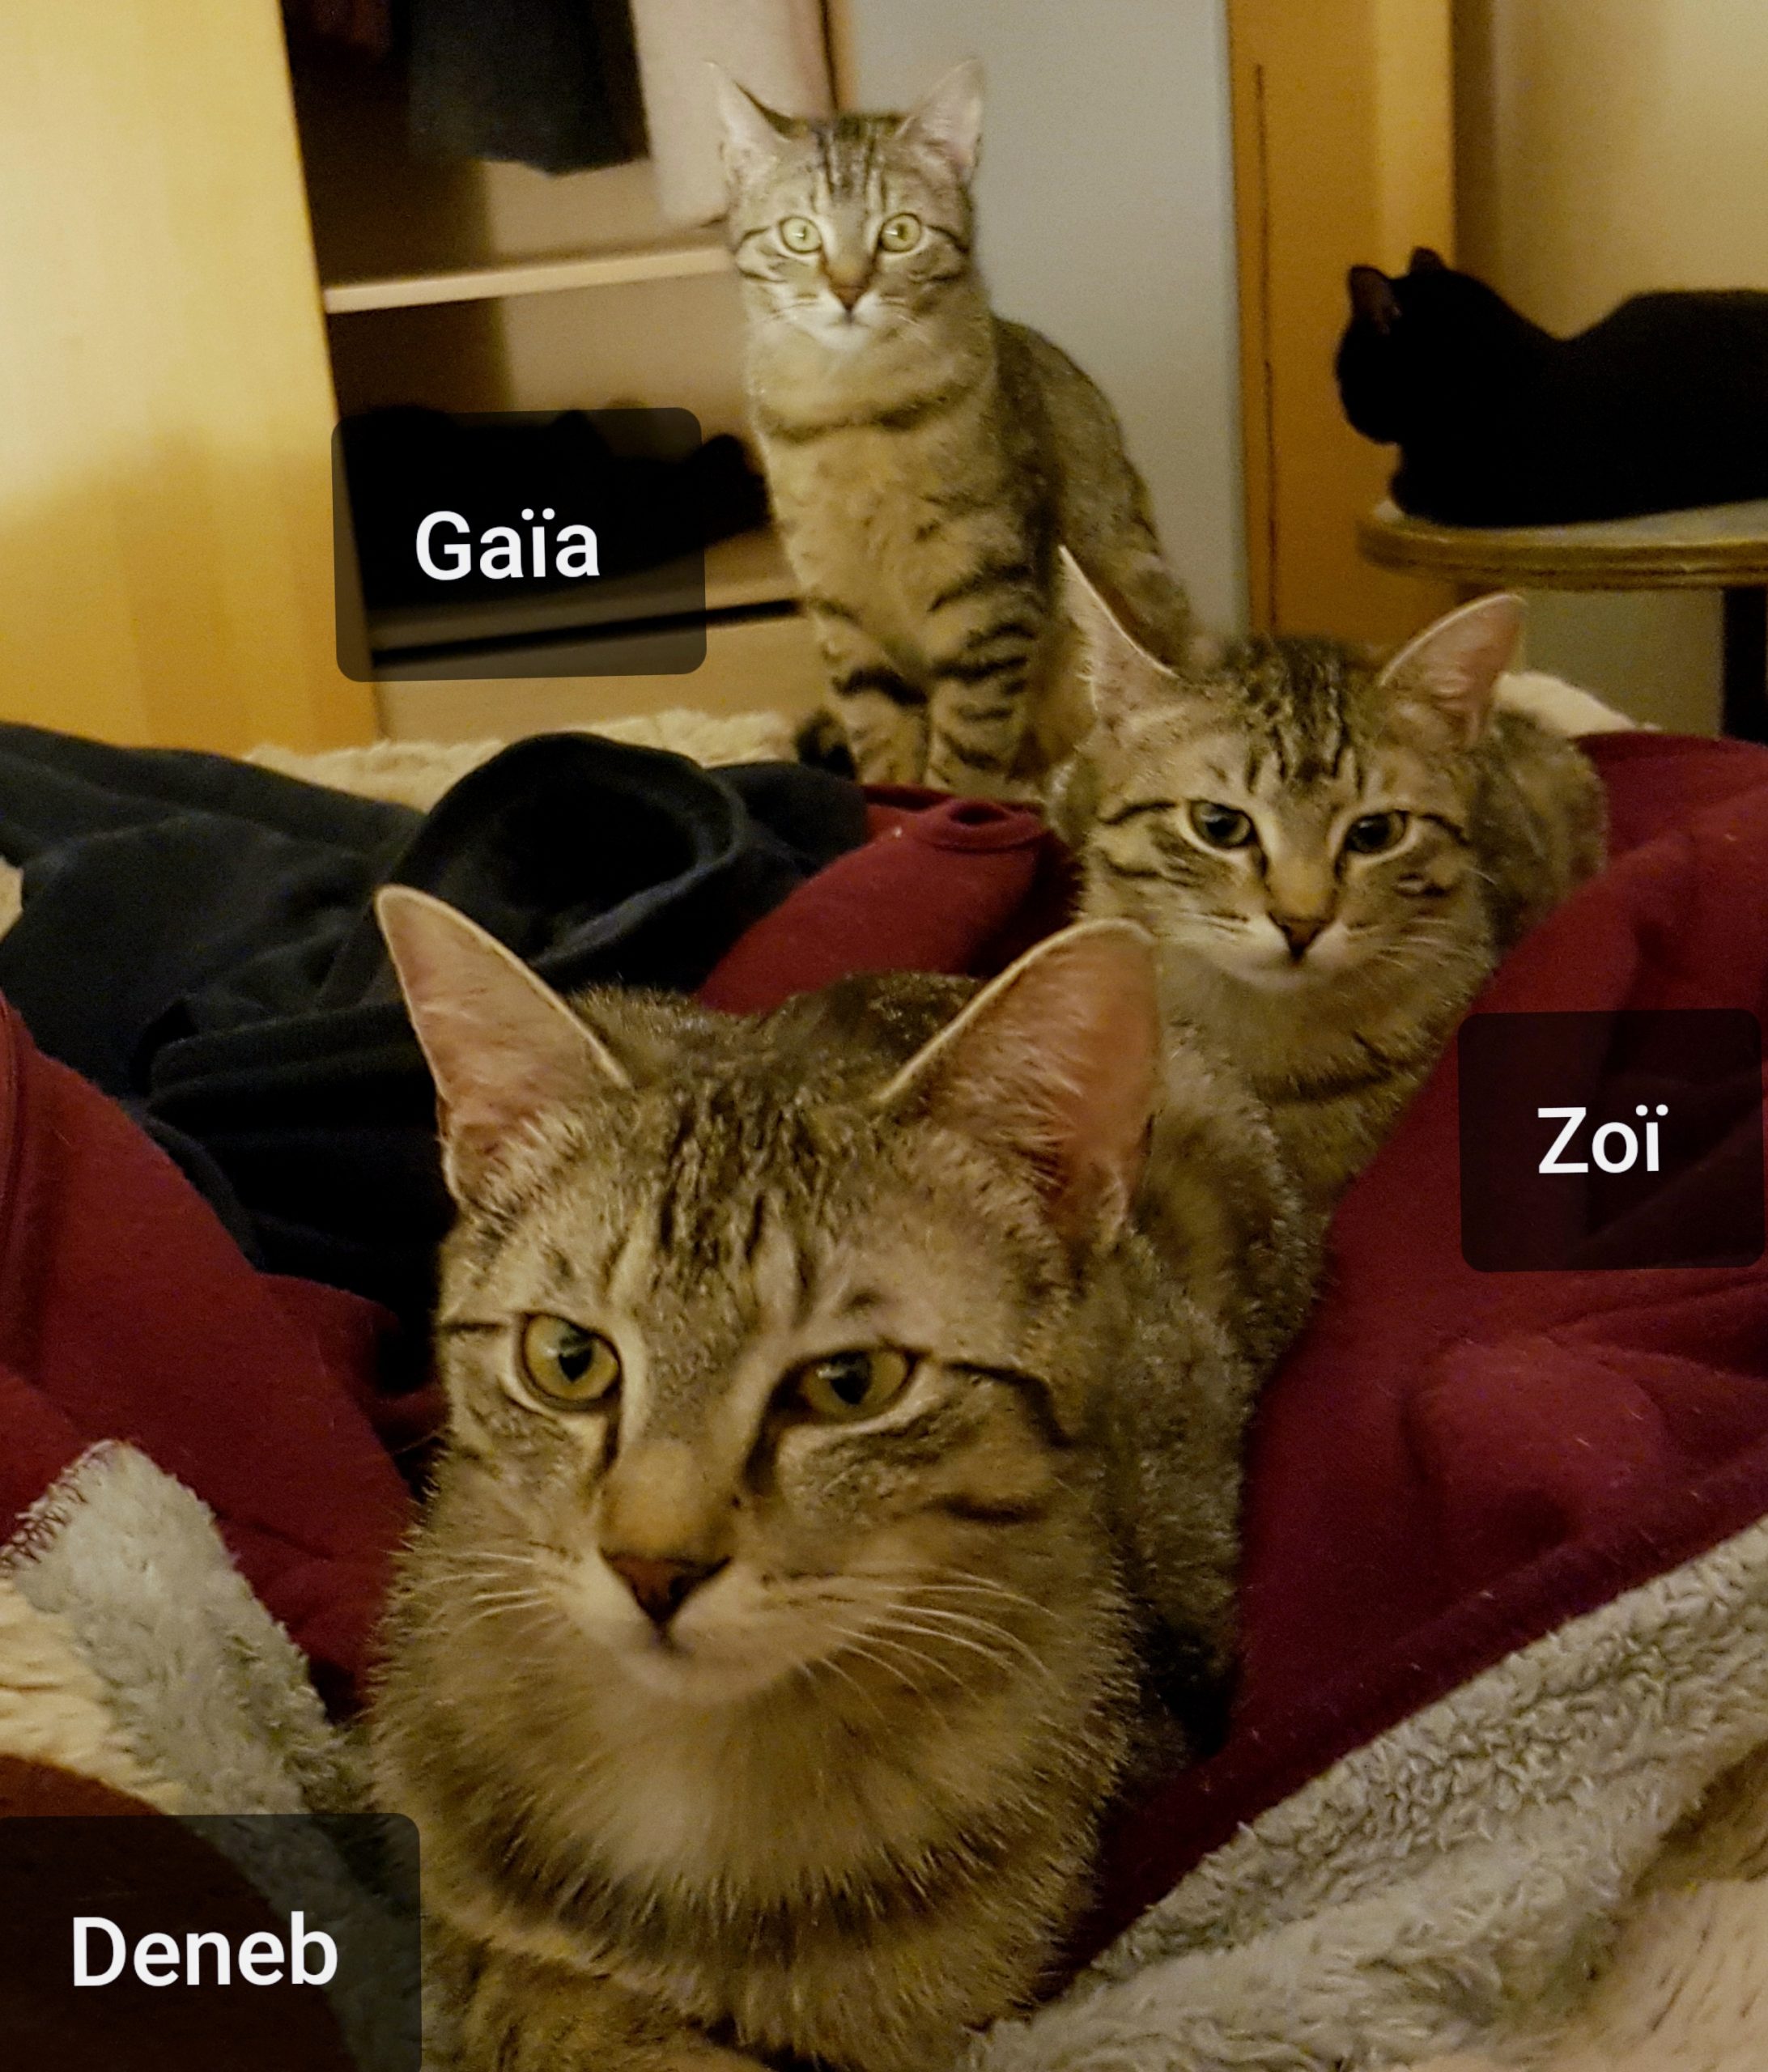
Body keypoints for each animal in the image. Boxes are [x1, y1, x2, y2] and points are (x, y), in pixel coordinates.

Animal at [713, 60, 1191, 797]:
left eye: (899, 233)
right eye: (799, 234)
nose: (847, 291)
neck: (852, 410)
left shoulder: (988, 599)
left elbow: (965, 747)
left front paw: (944, 807)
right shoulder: (841, 607)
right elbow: (879, 734)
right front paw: (889, 806)